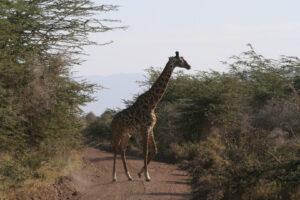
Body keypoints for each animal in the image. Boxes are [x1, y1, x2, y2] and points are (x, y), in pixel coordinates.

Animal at [111, 51, 191, 181]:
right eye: (181, 60)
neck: (152, 104)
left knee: (122, 150)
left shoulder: (151, 128)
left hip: (127, 134)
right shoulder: (145, 128)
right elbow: (145, 151)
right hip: (118, 132)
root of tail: (112, 121)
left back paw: (129, 176)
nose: (189, 66)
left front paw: (140, 173)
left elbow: (154, 150)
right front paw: (147, 176)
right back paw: (114, 177)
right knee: (115, 149)